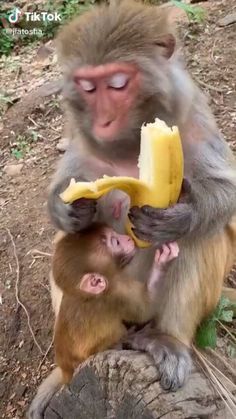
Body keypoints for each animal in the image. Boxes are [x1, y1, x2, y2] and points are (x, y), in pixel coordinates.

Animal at [28, 226, 178, 419]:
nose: (127, 238)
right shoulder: (117, 292)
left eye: (113, 233)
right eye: (115, 242)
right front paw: (163, 260)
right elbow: (146, 308)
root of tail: (66, 371)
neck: (84, 295)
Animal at [48, 1, 236, 392]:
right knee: (66, 245)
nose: (103, 120)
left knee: (203, 237)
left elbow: (226, 191)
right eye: (88, 88)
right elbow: (65, 195)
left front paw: (181, 216)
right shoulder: (81, 139)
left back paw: (166, 339)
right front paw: (67, 208)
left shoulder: (193, 118)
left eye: (118, 84)